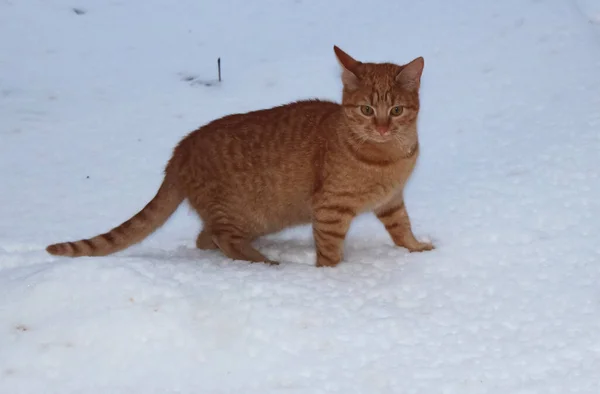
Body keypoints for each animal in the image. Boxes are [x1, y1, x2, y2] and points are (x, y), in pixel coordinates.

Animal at [45, 47, 432, 268]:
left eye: (396, 110)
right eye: (367, 110)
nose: (381, 127)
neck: (389, 157)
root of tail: (180, 150)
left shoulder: (392, 201)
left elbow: (402, 229)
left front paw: (417, 249)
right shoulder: (330, 209)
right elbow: (329, 252)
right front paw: (333, 278)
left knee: (205, 238)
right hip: (240, 214)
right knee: (221, 240)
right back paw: (264, 262)